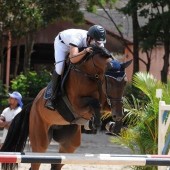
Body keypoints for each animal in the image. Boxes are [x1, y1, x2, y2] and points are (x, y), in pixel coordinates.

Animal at [0, 45, 132, 170]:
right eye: (110, 82)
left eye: (125, 82)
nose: (116, 115)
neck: (92, 73)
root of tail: (32, 105)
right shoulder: (77, 105)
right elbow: (94, 103)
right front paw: (96, 123)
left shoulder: (108, 102)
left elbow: (116, 107)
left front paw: (114, 126)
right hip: (40, 138)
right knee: (36, 161)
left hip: (69, 143)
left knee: (57, 162)